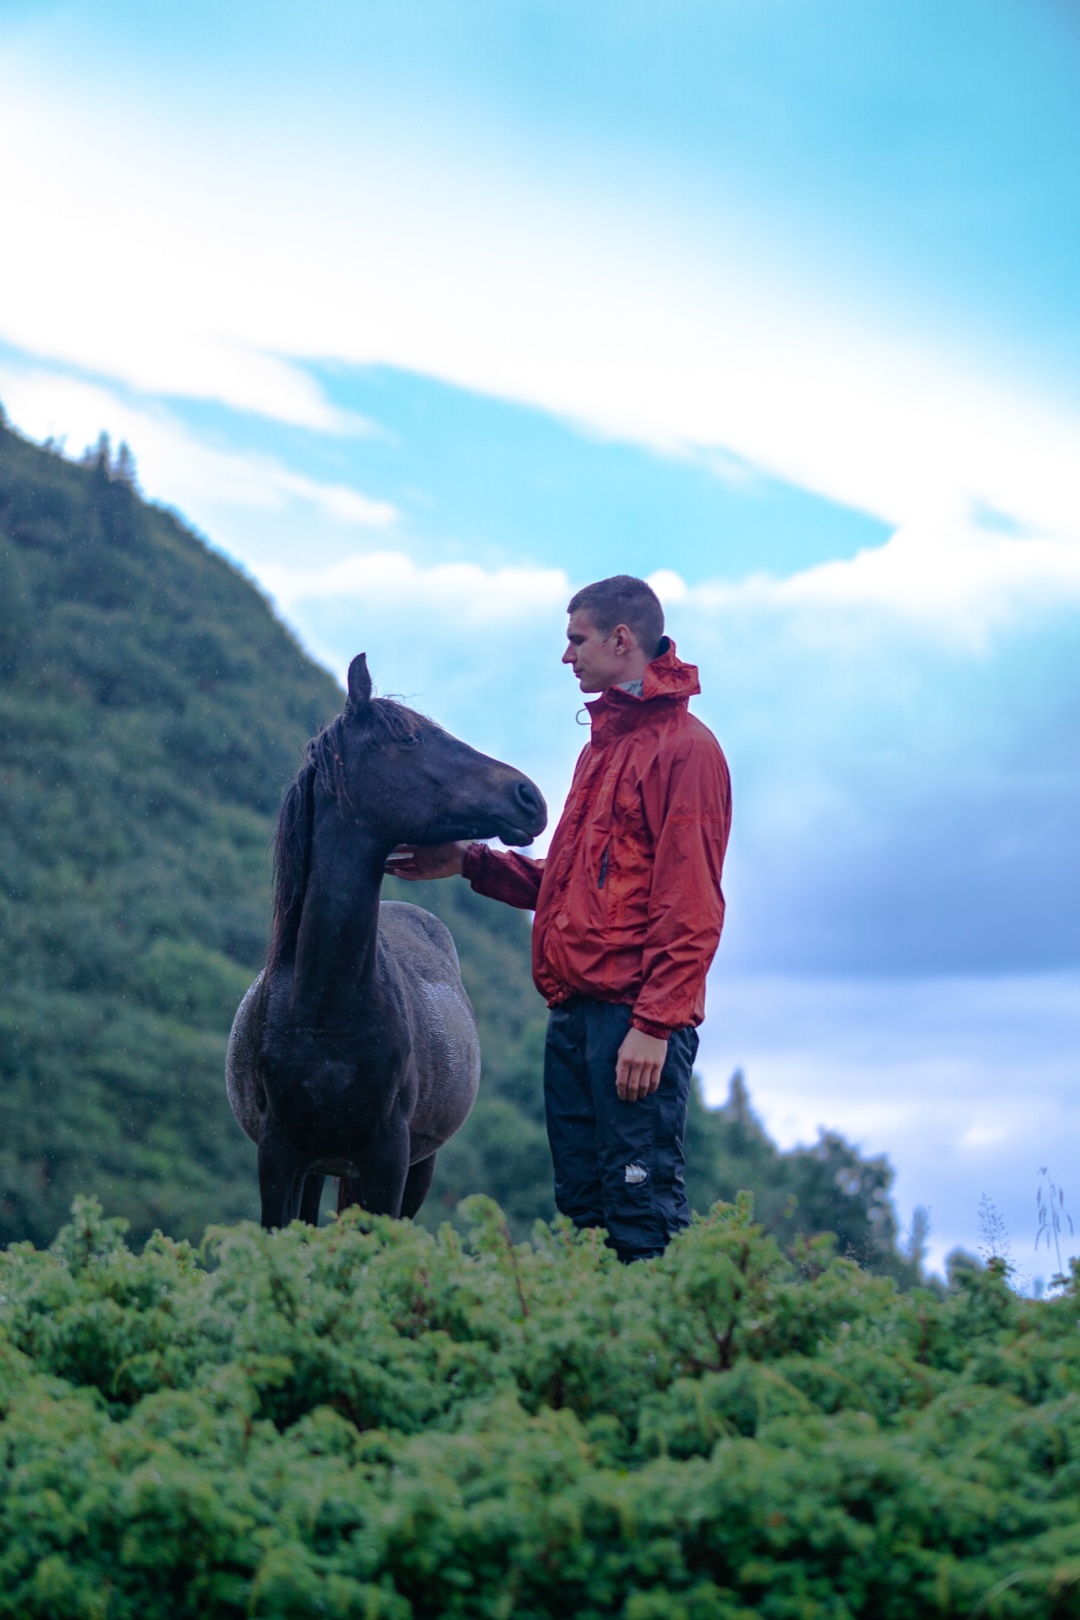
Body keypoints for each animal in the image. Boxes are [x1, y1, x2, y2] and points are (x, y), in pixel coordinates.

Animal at [228, 654, 550, 1224]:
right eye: (409, 738)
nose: (528, 796)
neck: (324, 1006)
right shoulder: (279, 1157)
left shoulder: (388, 1161)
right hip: (320, 1169)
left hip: (414, 1168)